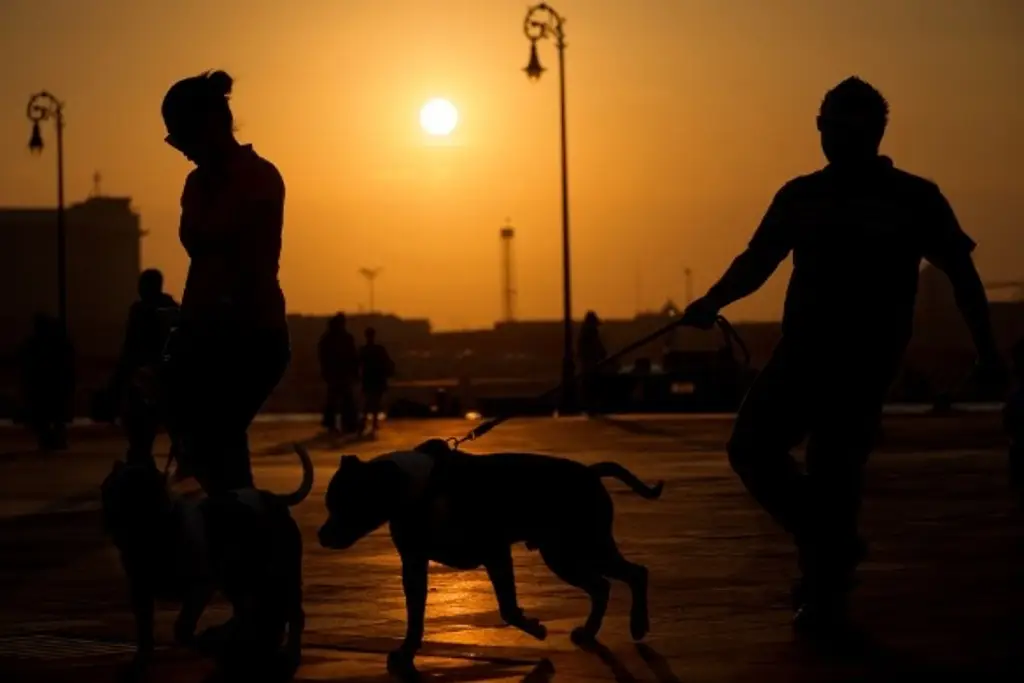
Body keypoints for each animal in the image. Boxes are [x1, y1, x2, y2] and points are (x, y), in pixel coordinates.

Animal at [103, 444, 313, 679]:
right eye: (108, 490)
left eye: (131, 493)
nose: (108, 518)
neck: (159, 533)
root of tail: (275, 499)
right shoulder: (141, 594)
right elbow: (145, 635)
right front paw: (139, 665)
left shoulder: (200, 588)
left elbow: (182, 628)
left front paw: (204, 644)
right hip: (239, 577)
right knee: (246, 609)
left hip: (283, 574)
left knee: (292, 613)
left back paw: (289, 652)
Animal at [319, 440, 663, 675]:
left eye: (346, 503)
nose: (321, 536)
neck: (418, 490)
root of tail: (591, 473)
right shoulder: (414, 565)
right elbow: (415, 617)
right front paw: (406, 653)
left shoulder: (495, 553)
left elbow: (508, 607)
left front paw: (534, 627)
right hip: (562, 555)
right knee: (601, 586)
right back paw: (589, 631)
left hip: (587, 545)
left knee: (635, 573)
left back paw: (637, 624)